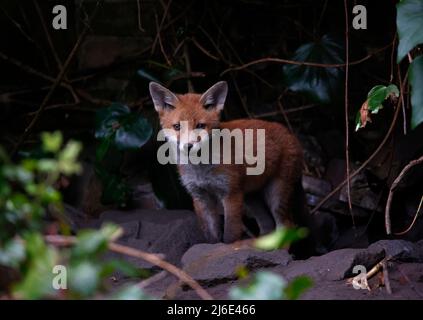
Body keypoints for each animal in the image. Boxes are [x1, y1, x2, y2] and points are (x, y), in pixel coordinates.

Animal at [149, 81, 304, 244]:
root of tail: (289, 132)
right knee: (268, 226)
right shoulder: (200, 196)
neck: (201, 169)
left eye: (200, 126)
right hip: (251, 198)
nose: (188, 146)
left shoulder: (231, 193)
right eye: (177, 126)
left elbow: (230, 235)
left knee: (286, 225)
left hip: (276, 195)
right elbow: (211, 236)